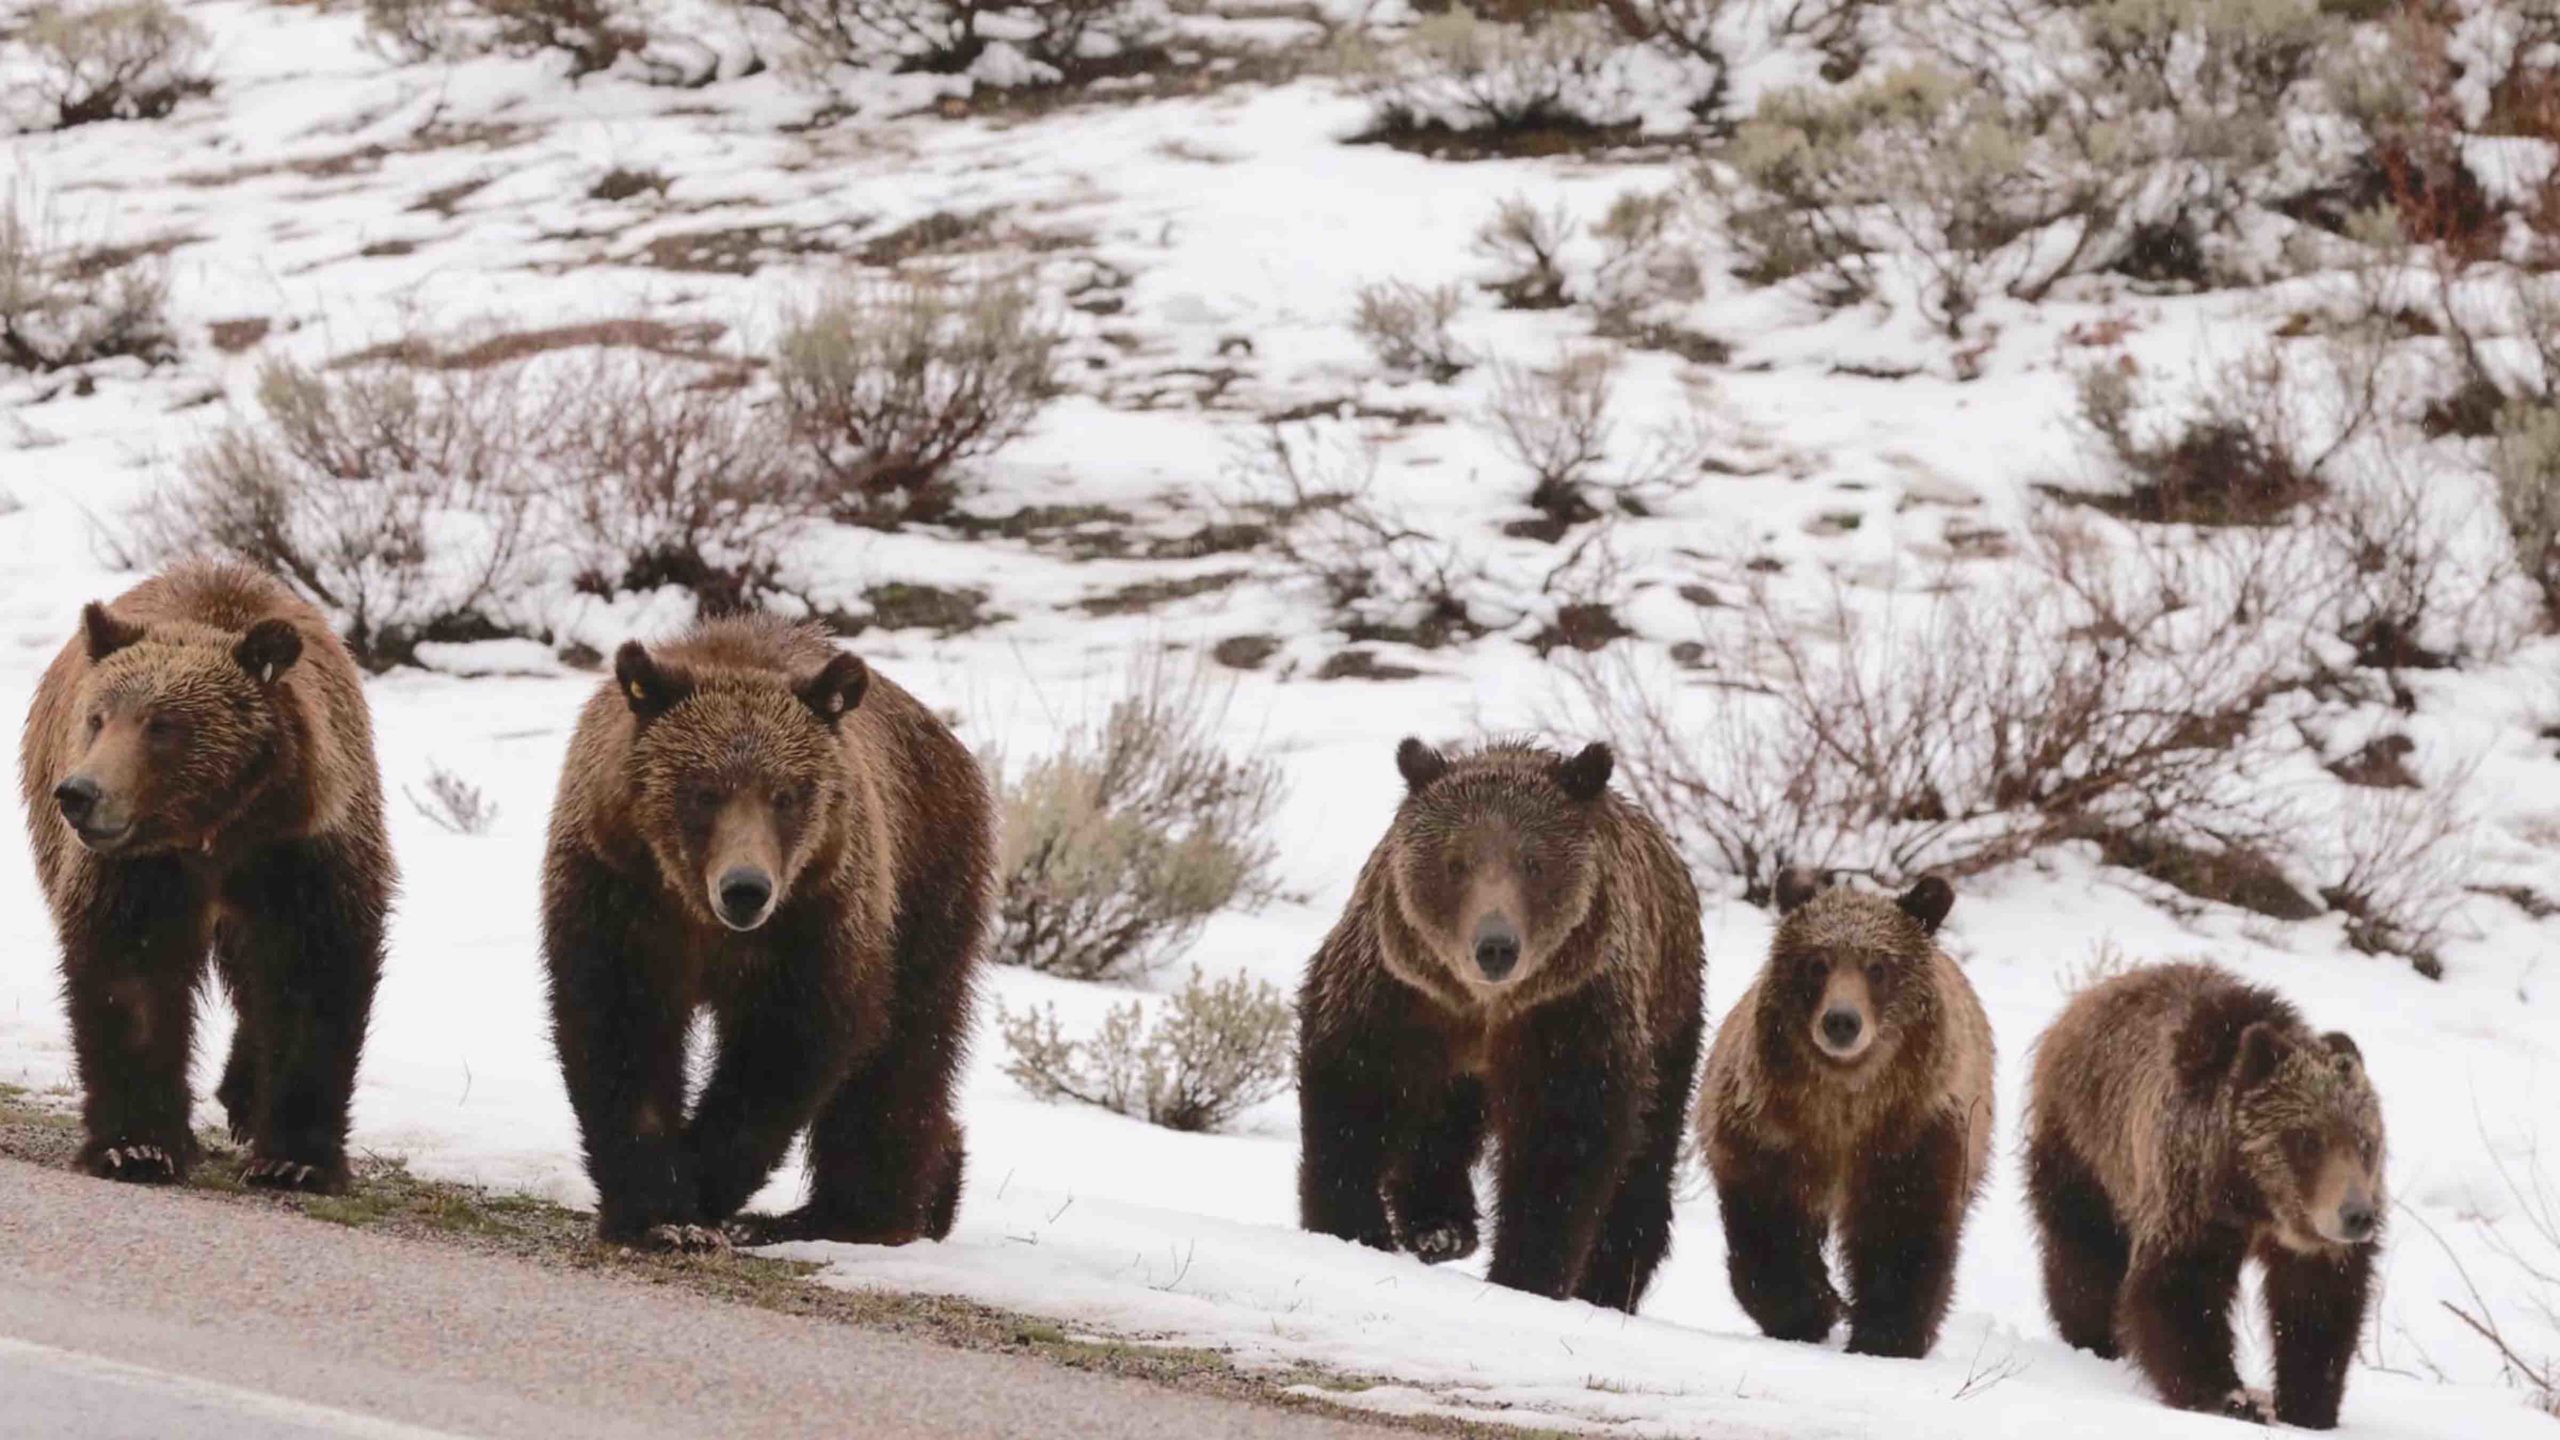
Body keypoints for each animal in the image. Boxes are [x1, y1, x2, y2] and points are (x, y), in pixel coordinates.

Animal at [16, 560, 393, 1193]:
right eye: (97, 717)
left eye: (161, 725)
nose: (80, 793)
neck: (213, 831)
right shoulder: (139, 871)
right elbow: (133, 979)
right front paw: (137, 1147)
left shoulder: (301, 851)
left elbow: (310, 977)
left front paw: (293, 1159)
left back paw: (243, 1095)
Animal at [541, 614, 991, 1252]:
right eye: (703, 790)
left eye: (786, 794)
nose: (745, 888)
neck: (696, 913)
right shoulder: (620, 898)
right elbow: (621, 1032)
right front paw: (653, 1208)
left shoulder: (813, 921)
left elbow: (785, 1049)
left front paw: (701, 1189)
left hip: (926, 885)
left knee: (904, 1054)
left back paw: (859, 1216)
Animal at [1296, 737, 1705, 1312]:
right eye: (1456, 862)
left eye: (1533, 863)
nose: (1495, 946)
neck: (1483, 1007)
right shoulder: (1397, 993)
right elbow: (1355, 1096)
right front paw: (1350, 1228)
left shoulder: (1570, 1015)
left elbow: (1562, 1146)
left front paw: (1527, 1273)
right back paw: (1441, 1228)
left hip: (1671, 1017)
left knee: (1647, 1156)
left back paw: (1609, 1283)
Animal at [1695, 867, 1993, 1359]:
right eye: (1817, 963)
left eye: (1879, 967)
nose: (1841, 1020)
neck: (1843, 1105)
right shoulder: (1769, 1133)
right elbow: (1768, 1232)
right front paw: (1809, 1311)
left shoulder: (1911, 1136)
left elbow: (1901, 1236)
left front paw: (1886, 1336)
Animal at [2026, 962, 2384, 1429]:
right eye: (2308, 1140)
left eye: (2365, 1142)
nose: (2357, 1214)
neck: (2256, 1200)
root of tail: (2085, 1000)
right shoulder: (2189, 1193)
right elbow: (2180, 1288)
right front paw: (2229, 1396)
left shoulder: (2313, 1245)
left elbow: (2316, 1306)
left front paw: (2308, 1406)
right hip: (2086, 1147)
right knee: (2084, 1249)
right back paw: (2093, 1338)